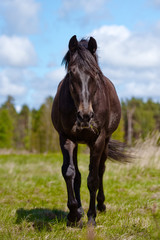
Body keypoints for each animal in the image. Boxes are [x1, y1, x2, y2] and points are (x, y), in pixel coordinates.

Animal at [51, 34, 129, 226]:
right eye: (71, 72)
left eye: (95, 73)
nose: (85, 116)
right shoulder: (66, 137)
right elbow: (69, 173)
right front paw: (73, 213)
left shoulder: (98, 140)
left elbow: (93, 179)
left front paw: (91, 217)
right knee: (78, 175)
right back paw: (79, 209)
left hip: (105, 142)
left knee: (100, 170)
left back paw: (101, 205)